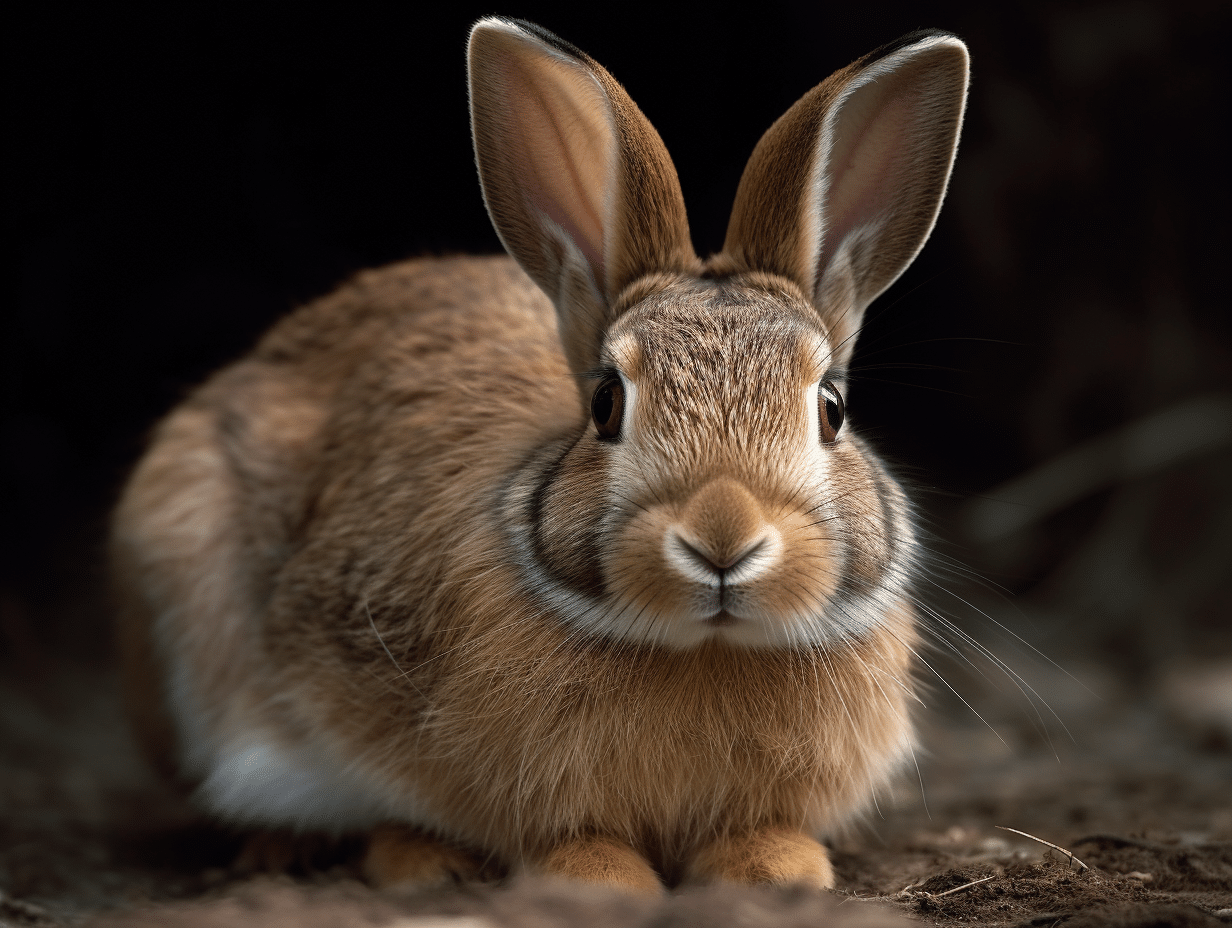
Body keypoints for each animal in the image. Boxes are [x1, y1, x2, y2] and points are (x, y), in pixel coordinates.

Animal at [110, 17, 969, 894]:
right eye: (606, 405)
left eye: (832, 410)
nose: (722, 539)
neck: (702, 646)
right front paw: (587, 875)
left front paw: (773, 868)